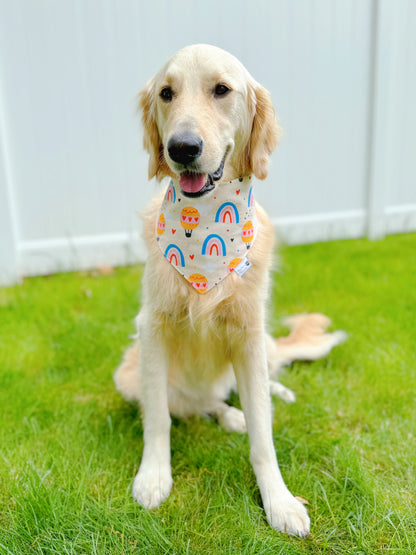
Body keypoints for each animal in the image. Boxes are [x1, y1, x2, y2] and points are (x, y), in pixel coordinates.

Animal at [114, 44, 344, 540]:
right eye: (166, 93)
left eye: (221, 90)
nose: (181, 148)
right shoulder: (152, 329)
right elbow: (158, 418)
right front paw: (153, 476)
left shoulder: (249, 334)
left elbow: (263, 435)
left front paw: (279, 501)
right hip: (129, 374)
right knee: (203, 405)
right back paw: (228, 413)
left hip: (259, 349)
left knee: (256, 385)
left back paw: (275, 393)